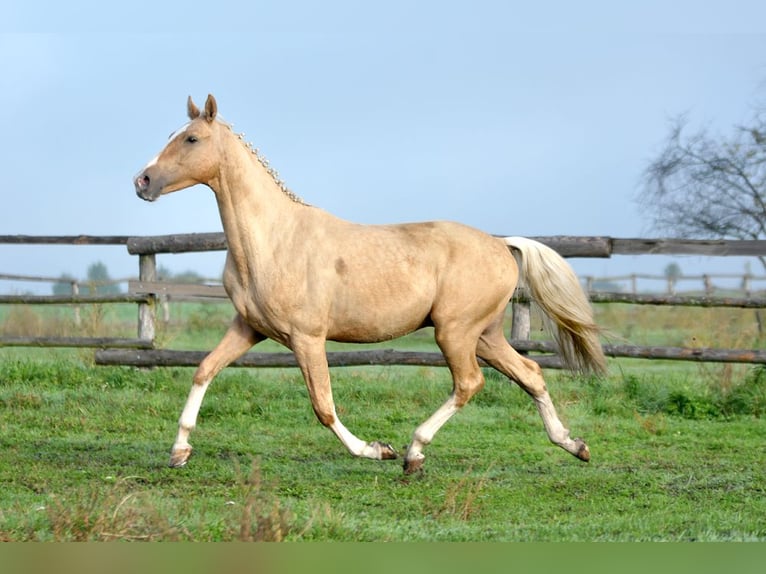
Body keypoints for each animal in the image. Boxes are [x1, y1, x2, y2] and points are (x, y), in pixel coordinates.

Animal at [135, 94, 608, 474]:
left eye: (191, 139)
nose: (142, 181)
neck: (273, 240)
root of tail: (501, 244)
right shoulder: (249, 328)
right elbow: (204, 370)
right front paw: (179, 451)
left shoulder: (307, 338)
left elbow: (323, 406)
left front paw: (376, 449)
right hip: (485, 335)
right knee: (530, 374)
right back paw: (575, 445)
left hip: (455, 332)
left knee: (470, 383)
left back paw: (413, 453)